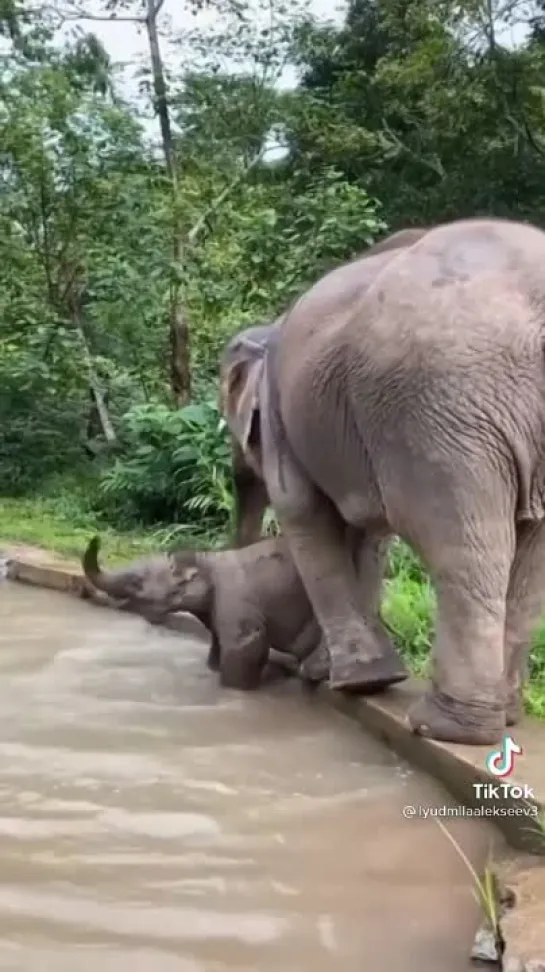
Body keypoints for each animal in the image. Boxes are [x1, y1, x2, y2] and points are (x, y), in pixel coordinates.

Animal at [81, 536, 328, 688]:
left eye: (136, 582)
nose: (96, 538)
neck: (206, 558)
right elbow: (217, 646)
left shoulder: (235, 602)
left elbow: (246, 646)